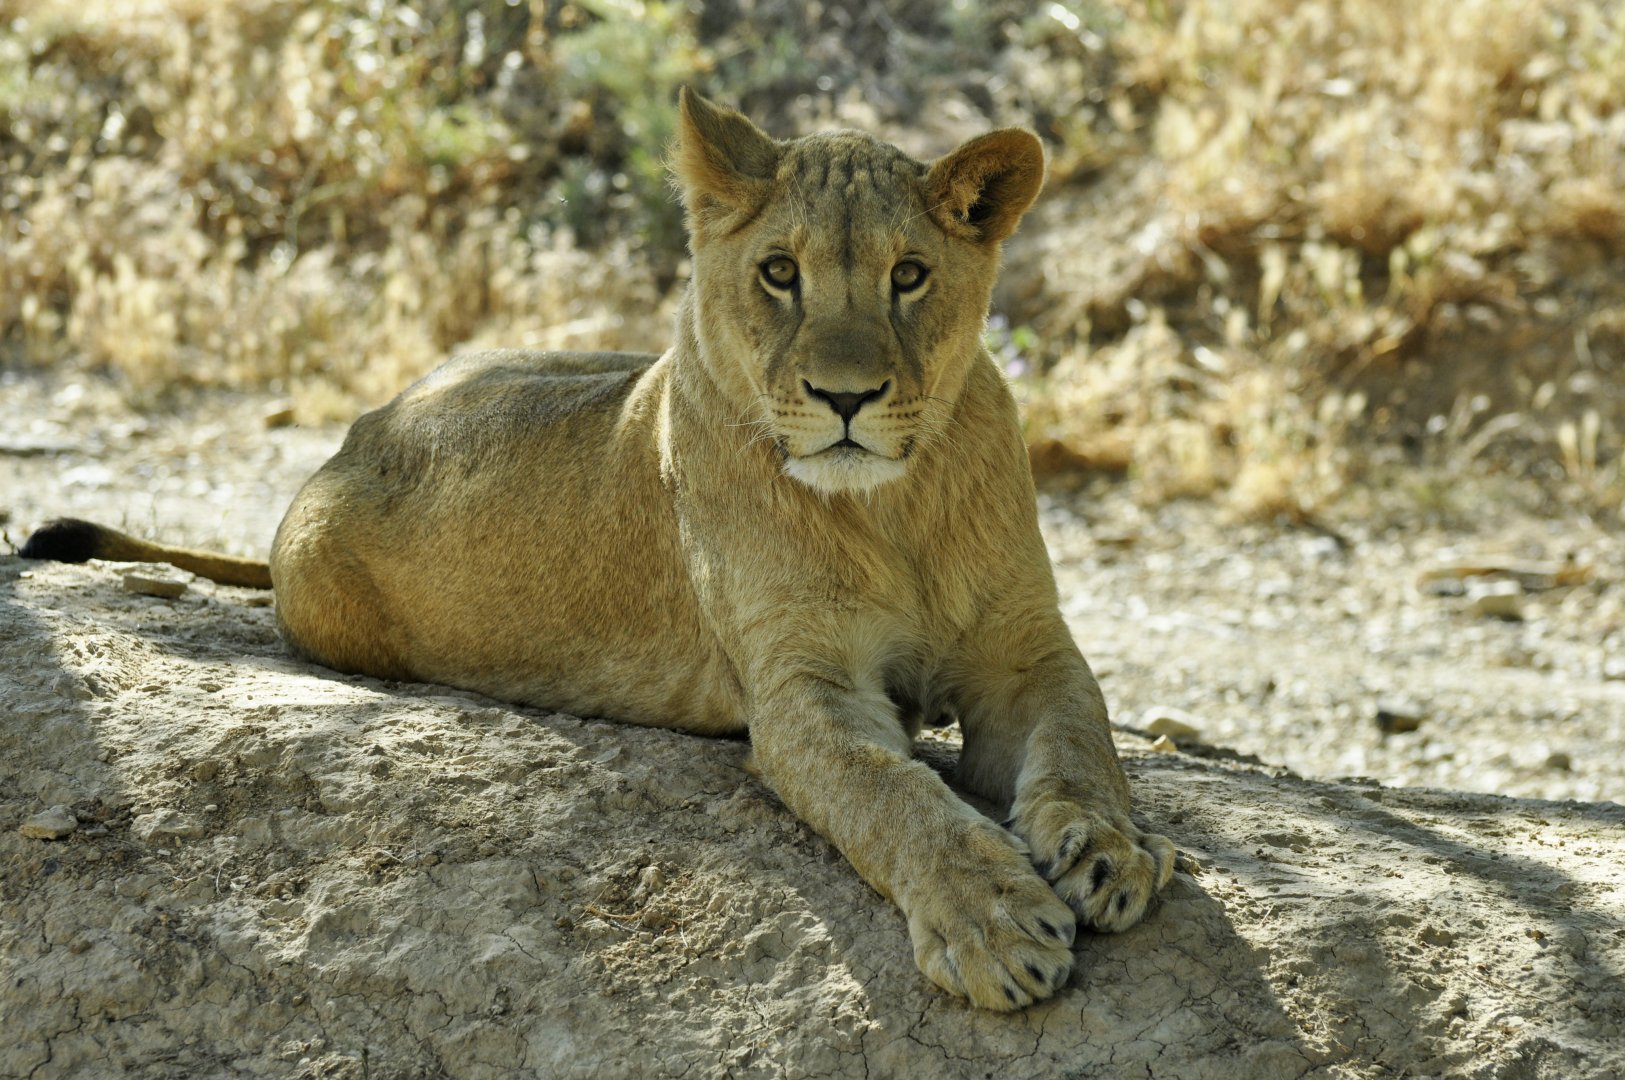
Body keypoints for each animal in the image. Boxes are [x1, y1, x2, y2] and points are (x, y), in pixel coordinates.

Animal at [21, 89, 1175, 1010]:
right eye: (778, 273)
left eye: (908, 275)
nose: (843, 398)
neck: (891, 506)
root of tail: (356, 431)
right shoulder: (800, 691)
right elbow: (894, 796)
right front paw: (992, 922)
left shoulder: (1025, 648)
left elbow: (1085, 745)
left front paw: (1110, 851)